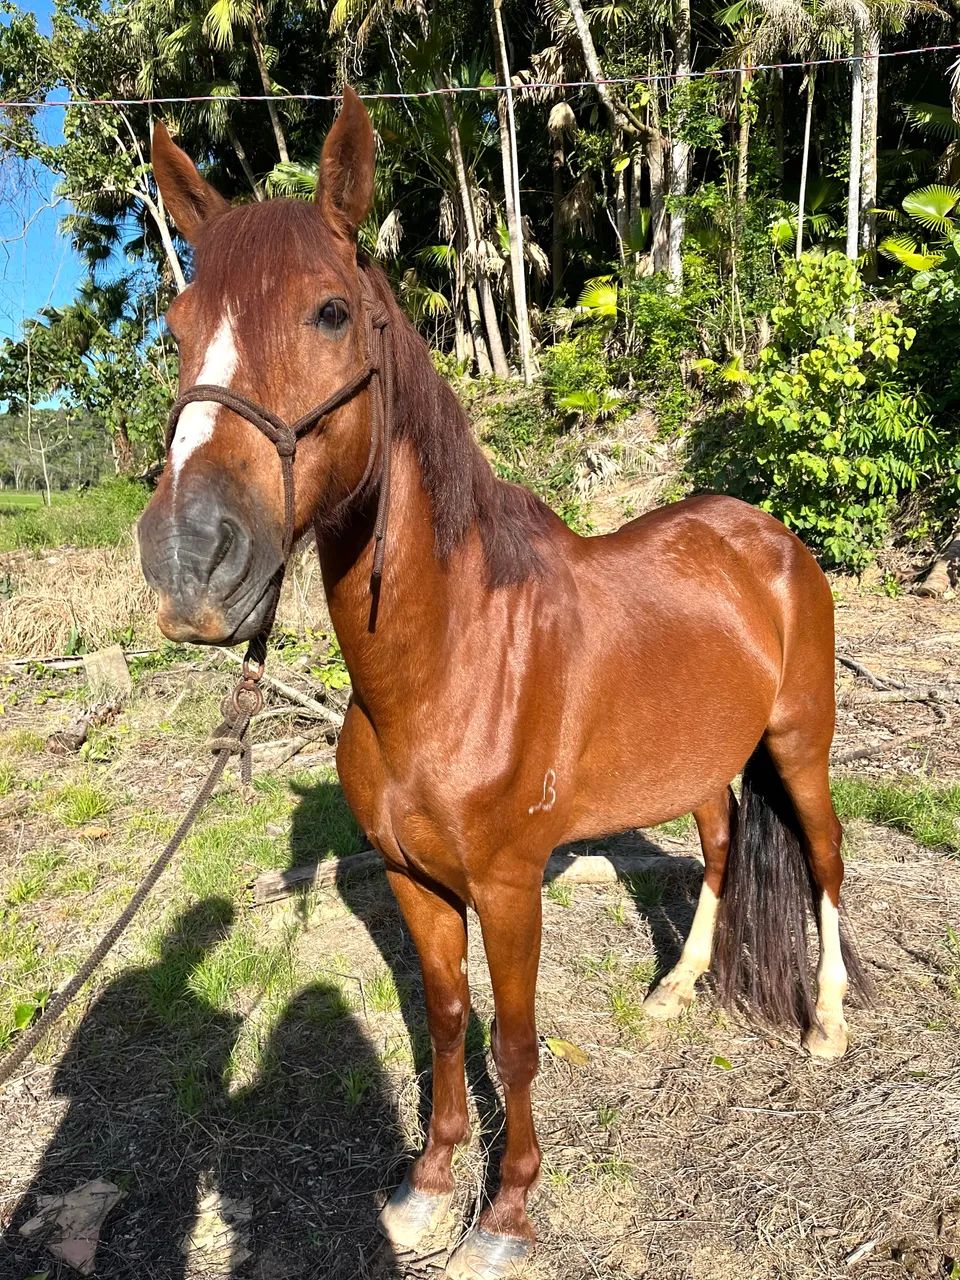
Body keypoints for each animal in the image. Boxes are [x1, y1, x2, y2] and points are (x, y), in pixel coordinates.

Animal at [138, 88, 866, 1279]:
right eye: (178, 329)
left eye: (332, 313)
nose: (190, 560)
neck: (446, 667)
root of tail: (768, 537)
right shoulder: (416, 882)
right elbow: (444, 1020)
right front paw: (429, 1187)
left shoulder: (512, 887)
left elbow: (516, 1039)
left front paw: (508, 1210)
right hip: (707, 762)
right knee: (720, 846)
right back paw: (676, 990)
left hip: (801, 745)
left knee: (826, 861)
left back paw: (828, 1023)